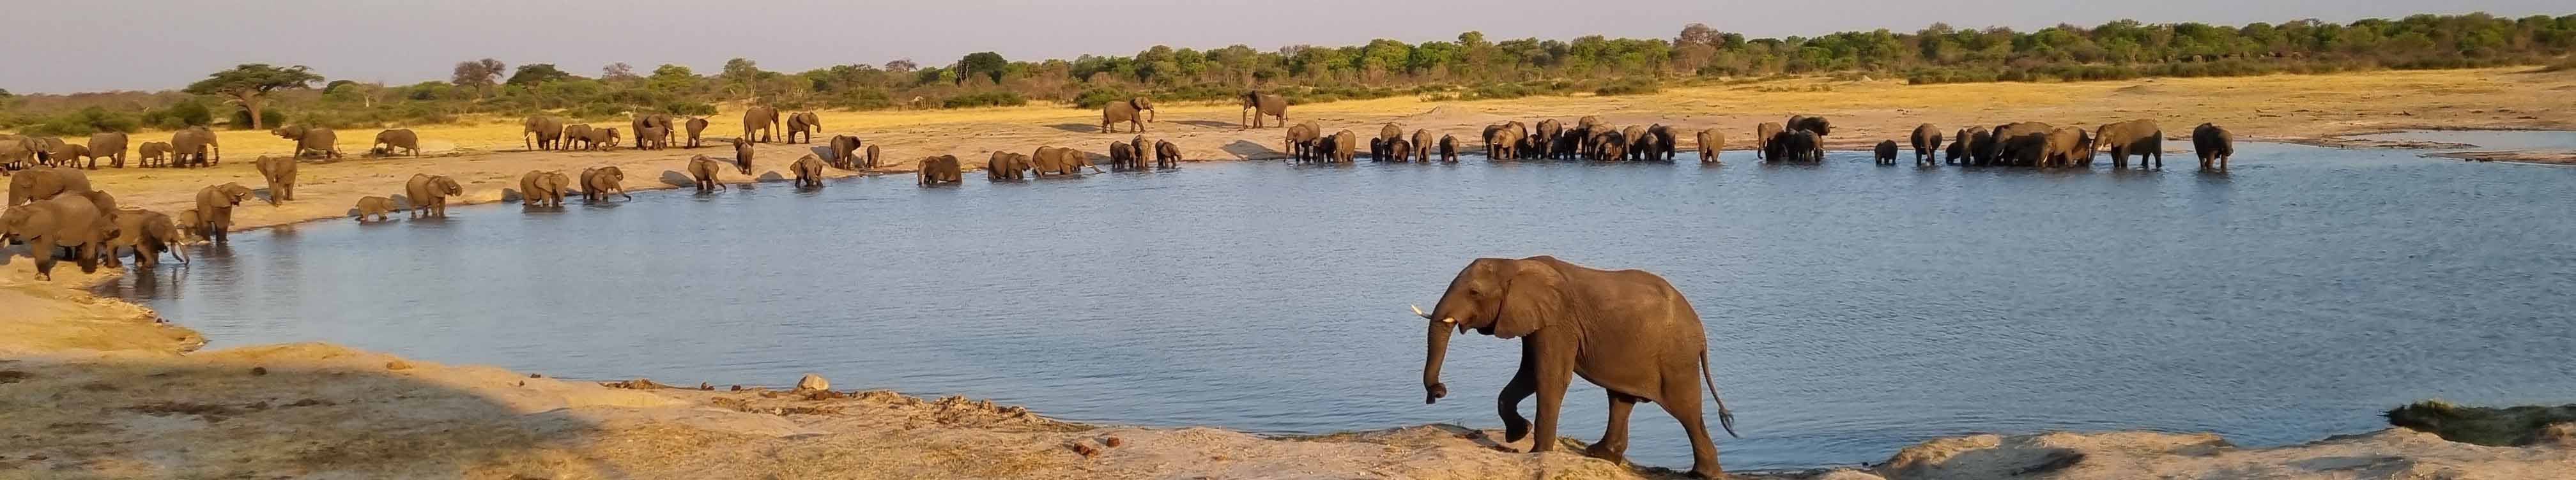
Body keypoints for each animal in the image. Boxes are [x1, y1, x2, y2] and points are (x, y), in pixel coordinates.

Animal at [0, 192, 117, 280]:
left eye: (13, 221)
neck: (27, 209)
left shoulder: (48, 229)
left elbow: (44, 248)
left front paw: (42, 278)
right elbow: (38, 248)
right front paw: (40, 277)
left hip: (92, 225)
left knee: (90, 245)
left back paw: (87, 272)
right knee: (83, 245)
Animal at [105, 209, 187, 269]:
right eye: (170, 230)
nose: (182, 262)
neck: (156, 216)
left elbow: (141, 248)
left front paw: (143, 266)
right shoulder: (145, 230)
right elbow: (142, 247)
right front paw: (146, 267)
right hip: (112, 233)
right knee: (112, 248)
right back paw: (113, 266)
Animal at [1411, 257, 1751, 477]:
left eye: (1474, 293)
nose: (1438, 392)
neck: (1514, 262)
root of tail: (1701, 331)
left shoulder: (1558, 322)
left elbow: (1549, 376)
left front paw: (1537, 451)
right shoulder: (1538, 322)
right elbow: (1529, 376)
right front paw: (1517, 435)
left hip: (1676, 357)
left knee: (1686, 411)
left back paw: (1704, 474)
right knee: (1620, 400)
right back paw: (1599, 454)